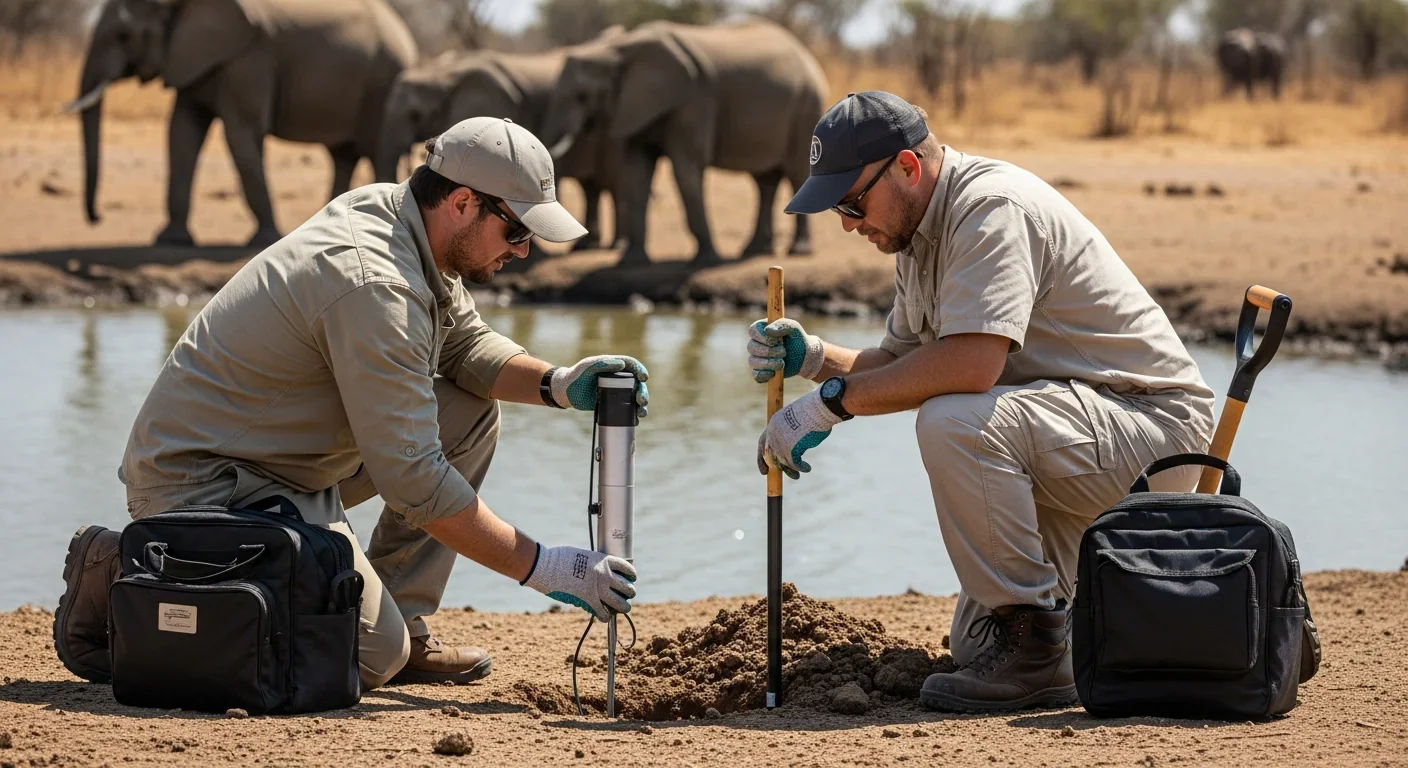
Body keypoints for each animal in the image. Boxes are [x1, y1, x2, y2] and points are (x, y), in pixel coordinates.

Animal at [70, 0, 418, 248]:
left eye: (124, 35)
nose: (97, 218)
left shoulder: (248, 58)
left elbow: (241, 131)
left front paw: (264, 240)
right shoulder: (196, 58)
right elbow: (182, 132)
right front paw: (171, 239)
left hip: (383, 83)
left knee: (375, 150)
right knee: (343, 155)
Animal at [539, 19, 830, 266]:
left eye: (582, 96)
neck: (617, 49)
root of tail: (806, 54)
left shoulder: (693, 100)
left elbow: (686, 169)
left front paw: (707, 260)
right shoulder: (633, 106)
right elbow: (636, 172)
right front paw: (631, 262)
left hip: (808, 106)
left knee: (796, 173)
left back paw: (798, 252)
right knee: (765, 181)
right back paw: (754, 250)